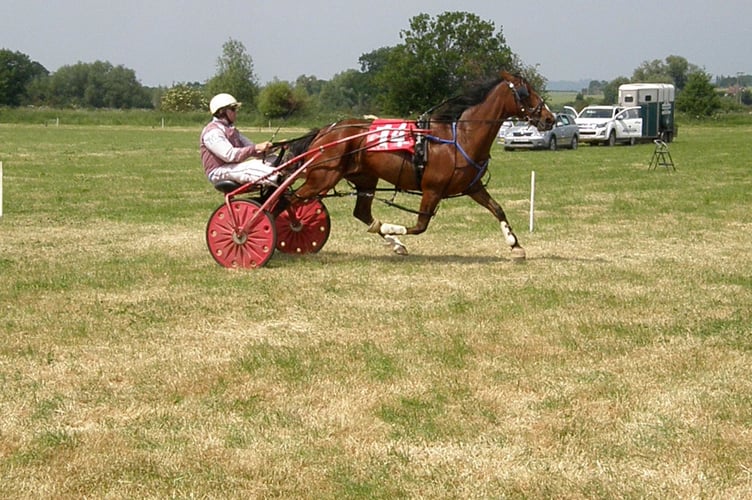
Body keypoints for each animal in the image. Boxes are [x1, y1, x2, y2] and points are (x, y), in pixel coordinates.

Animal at [282, 71, 552, 262]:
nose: (549, 118)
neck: (459, 137)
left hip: (364, 179)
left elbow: (497, 209)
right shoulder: (432, 190)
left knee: (361, 213)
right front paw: (390, 228)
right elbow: (420, 226)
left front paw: (515, 246)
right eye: (525, 92)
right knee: (287, 200)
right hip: (322, 178)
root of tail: (326, 130)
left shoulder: (473, 187)